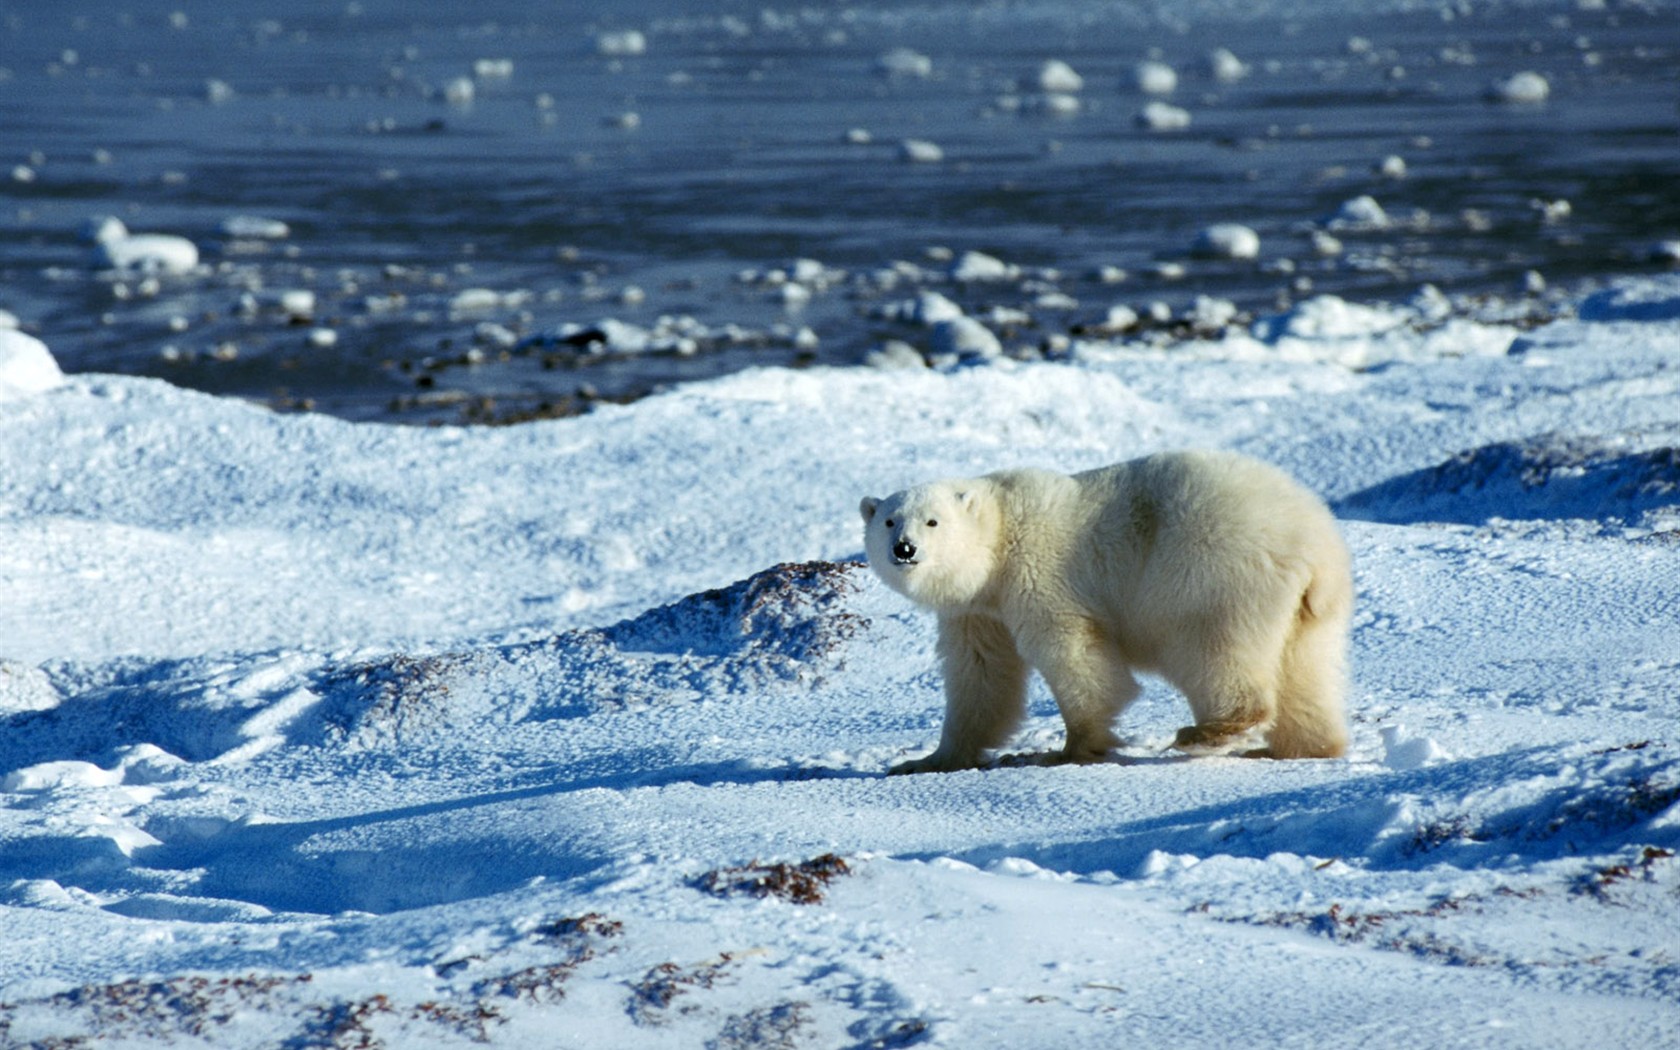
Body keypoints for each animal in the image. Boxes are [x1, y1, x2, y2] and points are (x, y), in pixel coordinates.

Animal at [860, 450, 1357, 769]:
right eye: (888, 520)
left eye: (932, 521)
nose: (904, 549)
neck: (1000, 534)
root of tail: (1313, 545)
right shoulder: (977, 611)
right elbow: (981, 675)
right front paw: (928, 760)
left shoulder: (1039, 574)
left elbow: (1074, 654)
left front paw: (1067, 750)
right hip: (1311, 610)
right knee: (1306, 669)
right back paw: (1299, 748)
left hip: (1212, 572)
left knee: (1212, 647)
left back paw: (1209, 732)